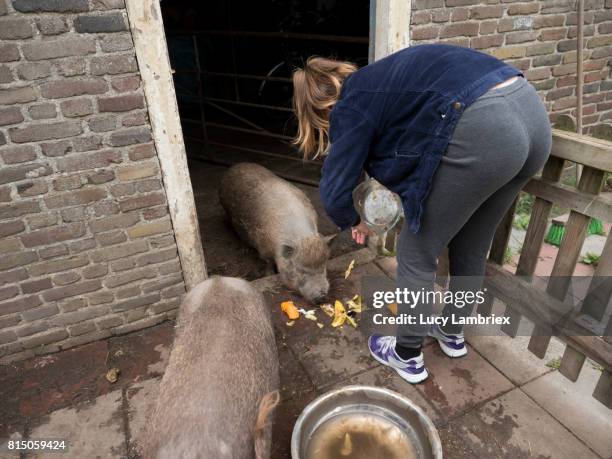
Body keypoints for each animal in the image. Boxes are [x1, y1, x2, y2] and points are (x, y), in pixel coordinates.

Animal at [221, 164, 334, 304]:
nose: (322, 297)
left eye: (324, 267)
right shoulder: (263, 247)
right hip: (227, 210)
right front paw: (269, 275)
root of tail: (233, 167)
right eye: (300, 270)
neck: (302, 238)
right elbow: (268, 262)